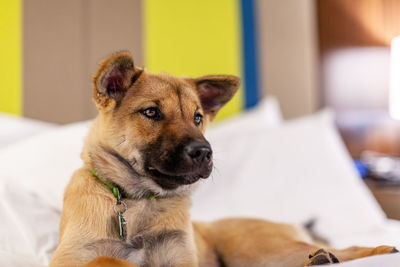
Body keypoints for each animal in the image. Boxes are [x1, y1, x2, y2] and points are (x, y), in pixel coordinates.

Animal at [51, 50, 398, 267]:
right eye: (151, 112)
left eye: (197, 117)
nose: (204, 152)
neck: (138, 202)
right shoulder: (70, 259)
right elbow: (104, 257)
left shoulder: (182, 260)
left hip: (260, 250)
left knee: (346, 249)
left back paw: (373, 250)